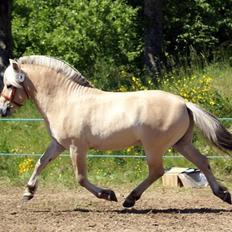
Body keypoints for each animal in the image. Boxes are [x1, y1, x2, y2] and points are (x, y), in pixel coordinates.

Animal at [0, 55, 232, 207]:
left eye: (9, 85)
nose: (3, 110)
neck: (65, 100)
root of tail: (184, 103)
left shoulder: (77, 147)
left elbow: (80, 178)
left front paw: (108, 194)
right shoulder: (58, 144)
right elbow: (40, 163)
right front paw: (28, 193)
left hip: (154, 147)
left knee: (157, 171)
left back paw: (130, 199)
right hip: (181, 143)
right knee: (202, 161)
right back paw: (223, 194)